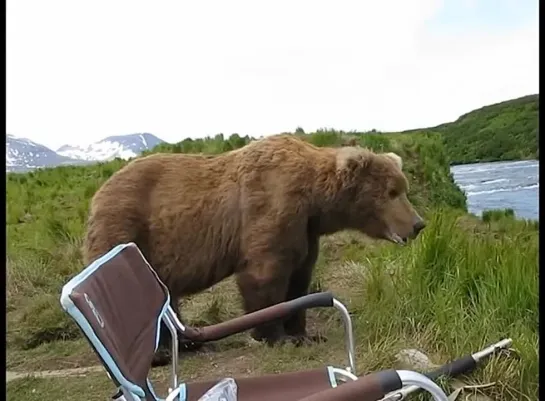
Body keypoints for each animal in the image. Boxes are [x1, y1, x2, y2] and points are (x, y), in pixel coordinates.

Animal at [84, 135, 424, 366]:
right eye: (392, 192)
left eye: (403, 188)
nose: (418, 224)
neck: (314, 199)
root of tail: (98, 193)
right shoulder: (271, 208)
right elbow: (265, 276)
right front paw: (275, 336)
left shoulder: (305, 230)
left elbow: (299, 278)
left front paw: (304, 333)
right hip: (126, 229)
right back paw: (160, 354)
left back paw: (189, 343)